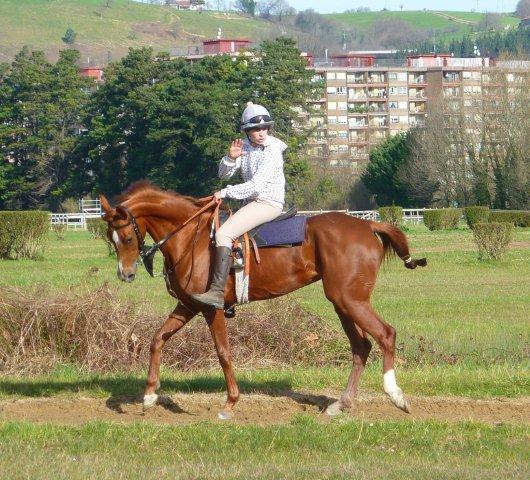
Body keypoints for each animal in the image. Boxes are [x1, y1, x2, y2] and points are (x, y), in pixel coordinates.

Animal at [100, 183, 424, 420]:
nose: (125, 274)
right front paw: (149, 395)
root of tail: (368, 226)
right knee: (361, 346)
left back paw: (395, 395)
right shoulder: (189, 306)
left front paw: (230, 403)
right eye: (109, 238)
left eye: (126, 238)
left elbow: (223, 353)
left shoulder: (211, 308)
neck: (191, 236)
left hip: (350, 300)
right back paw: (341, 404)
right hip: (341, 303)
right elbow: (157, 339)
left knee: (385, 334)